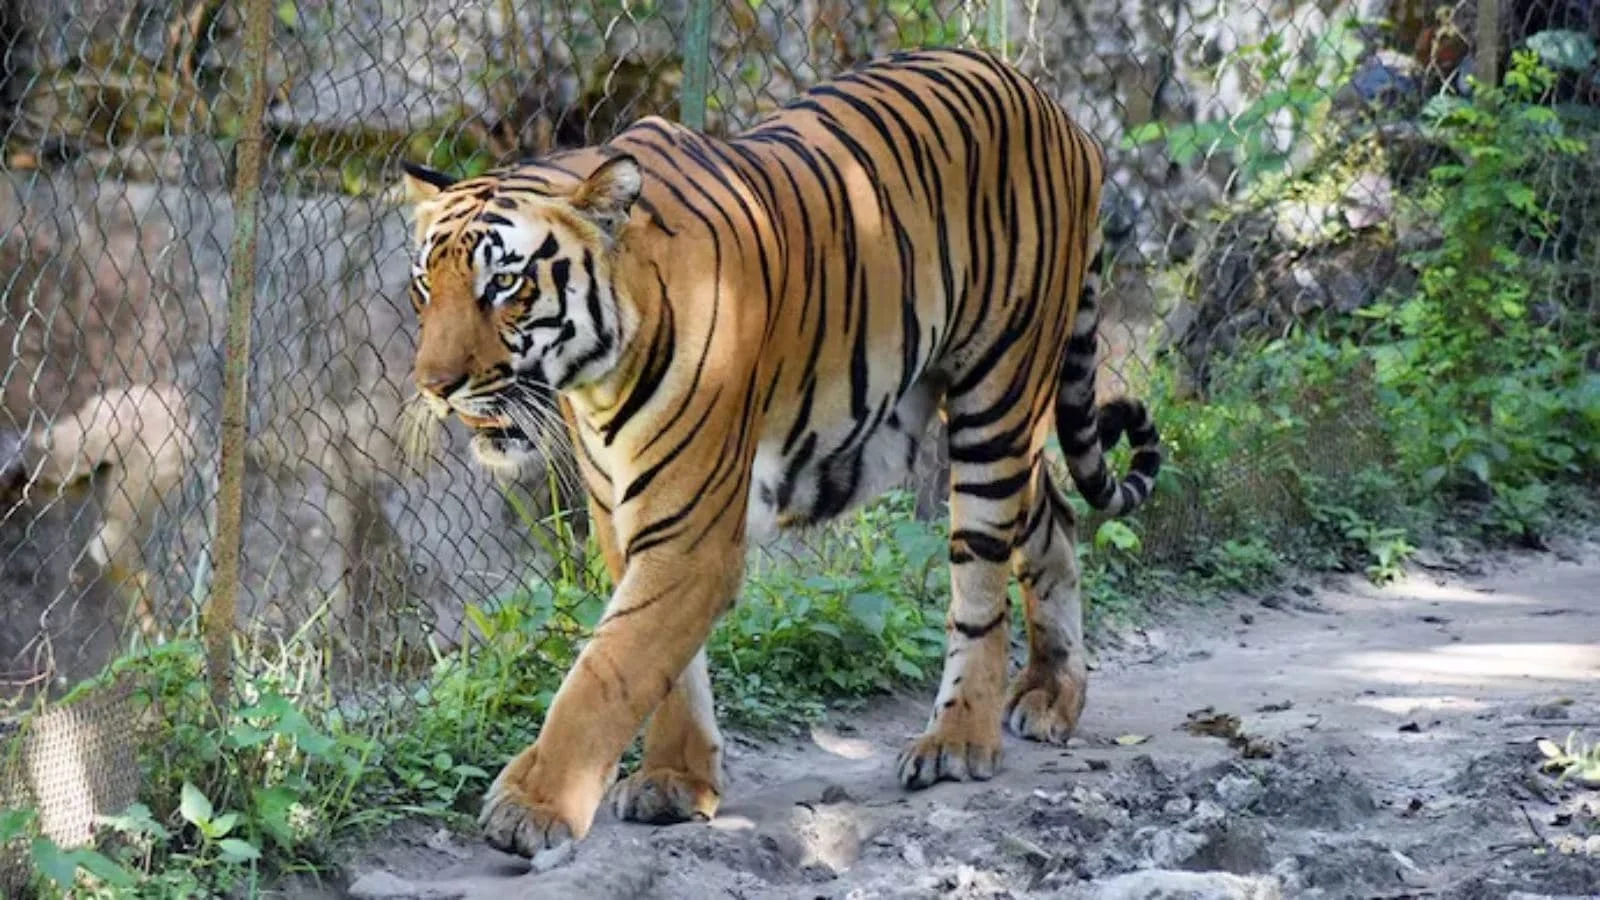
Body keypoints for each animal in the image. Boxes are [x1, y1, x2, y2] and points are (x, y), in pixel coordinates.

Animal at [397, 46, 1162, 858]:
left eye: (504, 284)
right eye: (424, 287)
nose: (435, 386)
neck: (598, 378)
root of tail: (1058, 110)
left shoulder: (691, 532)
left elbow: (607, 671)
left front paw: (531, 807)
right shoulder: (623, 516)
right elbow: (663, 667)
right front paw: (677, 780)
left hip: (998, 390)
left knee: (981, 586)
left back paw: (957, 741)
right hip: (992, 412)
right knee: (1054, 517)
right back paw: (1052, 694)